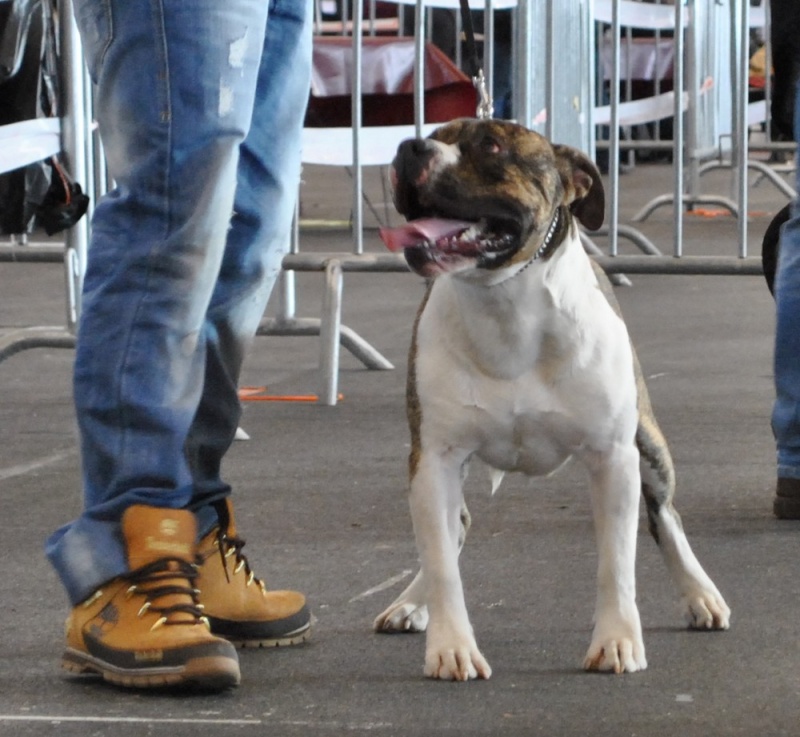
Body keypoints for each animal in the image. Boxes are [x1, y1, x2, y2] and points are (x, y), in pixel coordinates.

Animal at [376, 119, 732, 680]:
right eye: (431, 132)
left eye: (492, 145)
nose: (409, 147)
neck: (504, 304)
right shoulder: (433, 460)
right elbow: (442, 564)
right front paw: (451, 647)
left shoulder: (613, 458)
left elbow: (616, 561)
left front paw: (616, 642)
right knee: (452, 532)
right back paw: (412, 600)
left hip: (648, 444)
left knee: (666, 517)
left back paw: (700, 595)